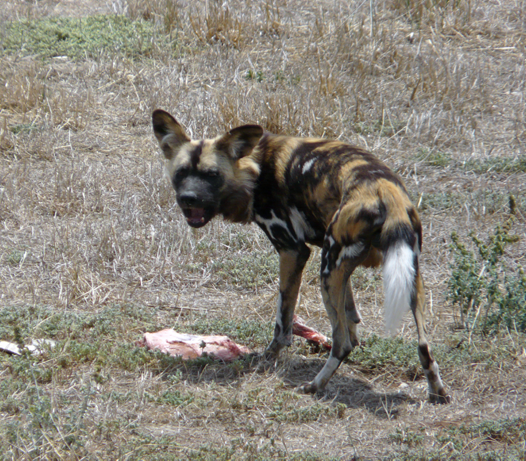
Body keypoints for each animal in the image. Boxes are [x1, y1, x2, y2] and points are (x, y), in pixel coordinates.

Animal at [154, 108, 454, 402]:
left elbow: (283, 321)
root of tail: (385, 191)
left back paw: (314, 386)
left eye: (212, 175)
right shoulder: (338, 267)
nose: (189, 198)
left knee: (342, 343)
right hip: (399, 276)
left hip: (327, 273)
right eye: (181, 173)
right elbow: (352, 316)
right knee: (423, 346)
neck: (255, 168)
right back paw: (437, 393)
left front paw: (268, 358)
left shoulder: (293, 251)